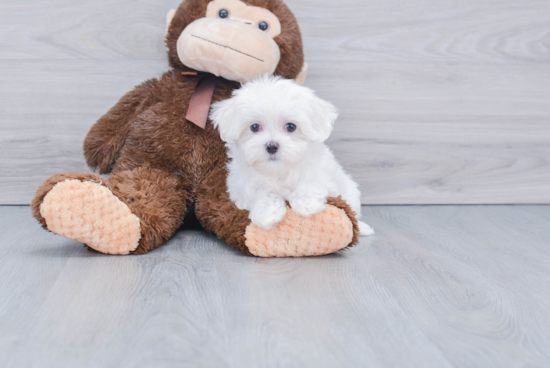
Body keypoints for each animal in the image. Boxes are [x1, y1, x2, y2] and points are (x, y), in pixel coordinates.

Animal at [210, 75, 376, 236]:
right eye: (255, 127)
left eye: (291, 126)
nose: (271, 146)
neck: (278, 170)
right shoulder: (242, 187)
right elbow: (260, 193)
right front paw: (267, 212)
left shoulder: (321, 172)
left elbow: (312, 181)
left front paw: (307, 203)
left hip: (350, 192)